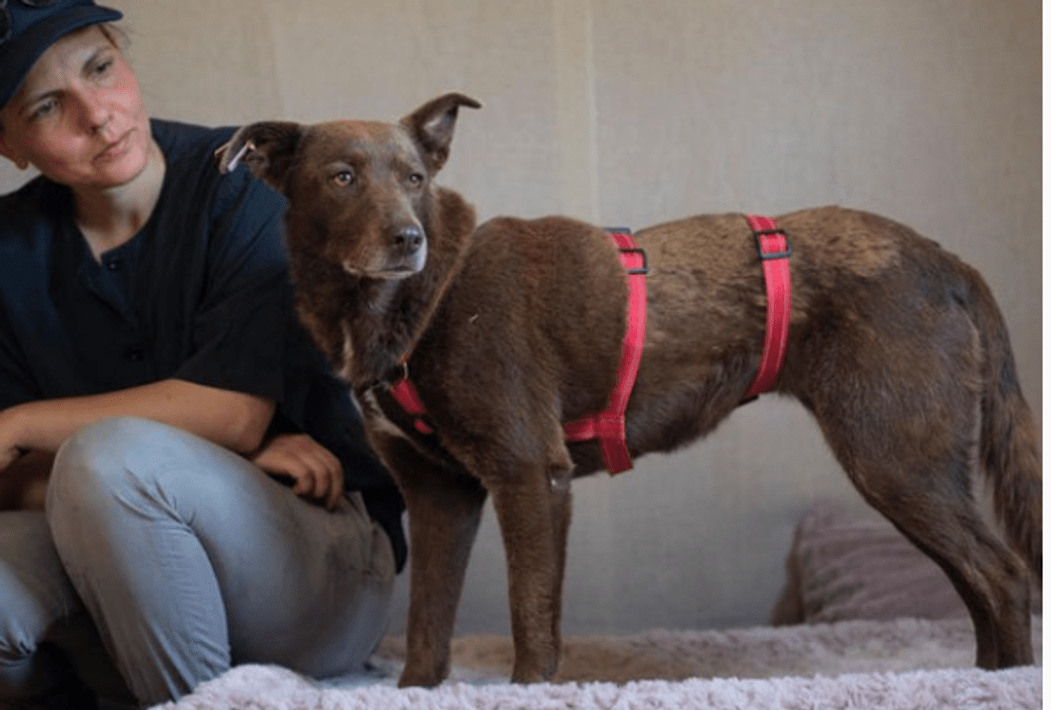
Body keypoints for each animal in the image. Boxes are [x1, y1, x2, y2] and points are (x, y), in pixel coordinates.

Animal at [217, 93, 1041, 687]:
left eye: (416, 179)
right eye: (342, 177)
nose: (407, 240)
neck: (423, 299)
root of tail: (945, 259)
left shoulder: (530, 476)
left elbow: (531, 620)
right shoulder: (441, 497)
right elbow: (426, 631)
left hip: (894, 456)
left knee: (1002, 576)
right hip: (909, 466)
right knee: (983, 584)